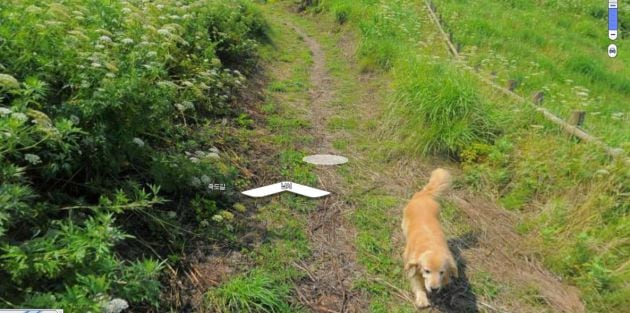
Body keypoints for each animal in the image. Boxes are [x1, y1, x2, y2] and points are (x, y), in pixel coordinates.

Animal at [404, 168, 460, 308]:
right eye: (427, 271)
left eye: (441, 272)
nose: (434, 289)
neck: (432, 247)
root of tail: (425, 195)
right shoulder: (413, 266)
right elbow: (417, 283)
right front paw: (422, 299)